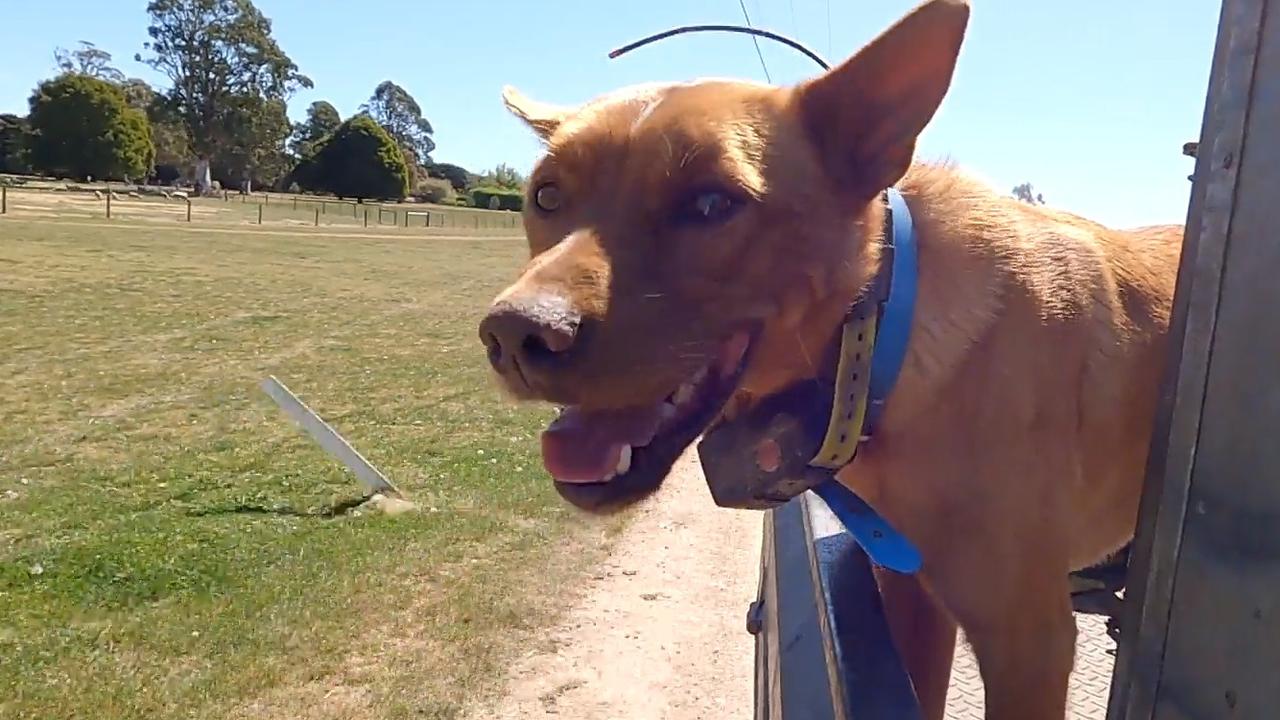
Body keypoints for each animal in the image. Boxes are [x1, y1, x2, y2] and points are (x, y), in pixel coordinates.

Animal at [478, 2, 1177, 712]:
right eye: (545, 196)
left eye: (711, 203)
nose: (513, 335)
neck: (878, 341)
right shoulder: (909, 592)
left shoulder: (1027, 639)